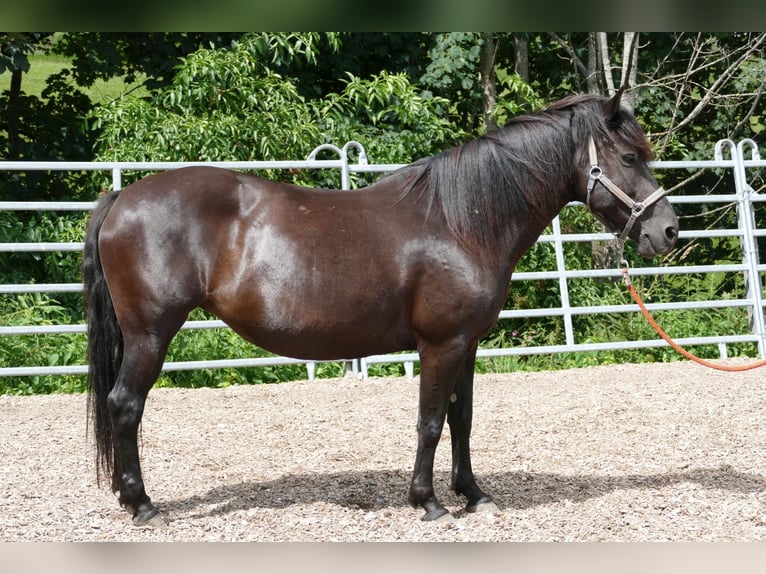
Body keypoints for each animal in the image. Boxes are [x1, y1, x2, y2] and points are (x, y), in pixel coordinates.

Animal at [82, 90, 680, 528]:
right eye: (630, 157)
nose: (668, 231)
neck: (461, 221)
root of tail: (123, 197)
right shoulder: (440, 346)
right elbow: (430, 422)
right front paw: (429, 502)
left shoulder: (467, 344)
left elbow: (462, 419)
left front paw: (474, 494)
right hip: (150, 335)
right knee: (125, 406)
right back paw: (143, 506)